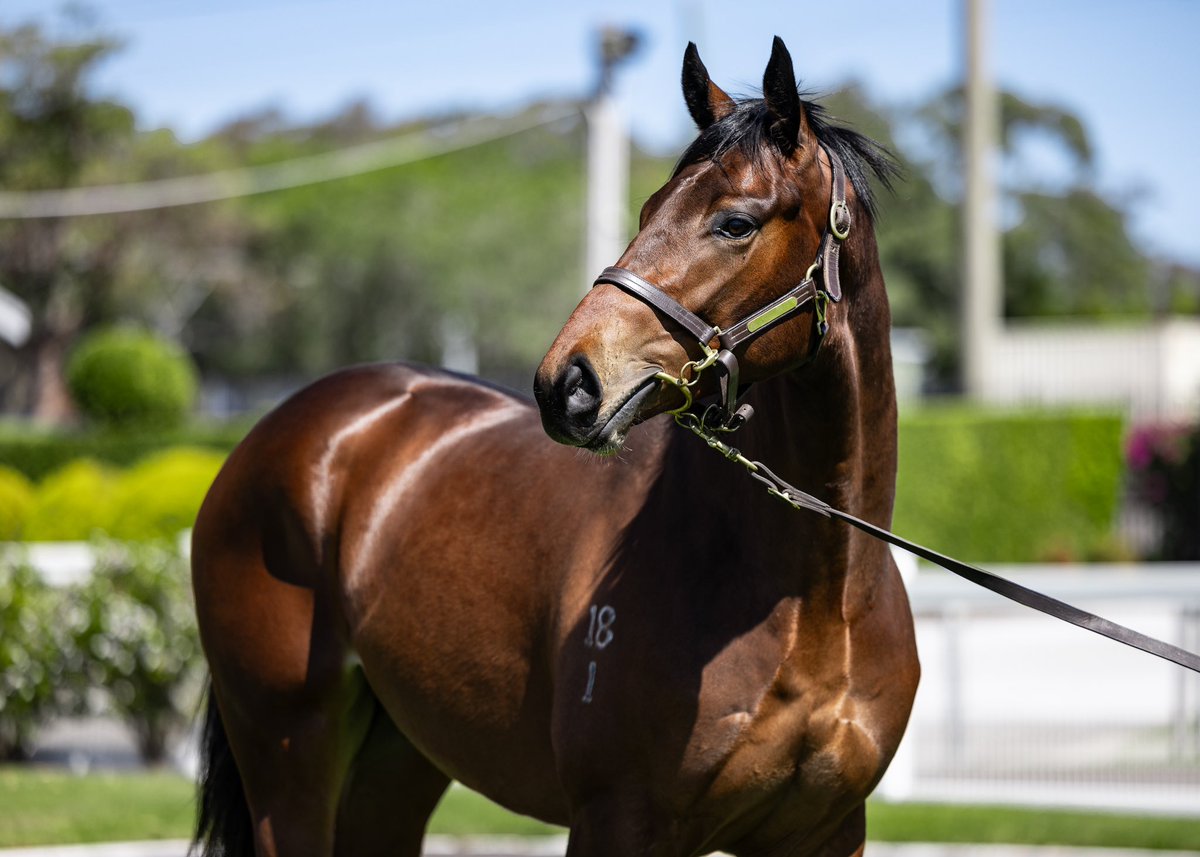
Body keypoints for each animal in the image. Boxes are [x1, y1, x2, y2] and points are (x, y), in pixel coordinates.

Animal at [191, 37, 919, 857]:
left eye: (735, 223)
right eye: (647, 209)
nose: (565, 383)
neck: (812, 603)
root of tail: (275, 434)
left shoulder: (829, 831)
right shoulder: (617, 821)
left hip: (395, 765)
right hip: (289, 757)